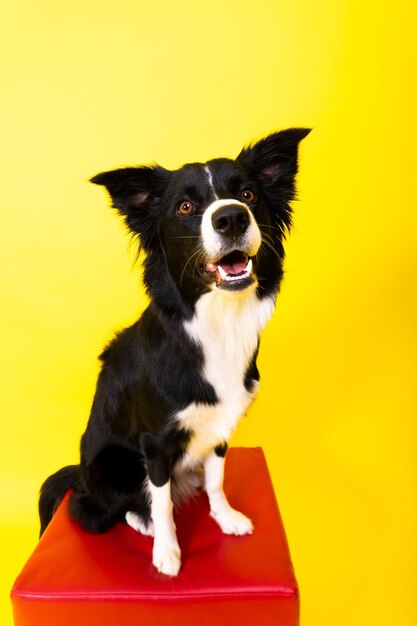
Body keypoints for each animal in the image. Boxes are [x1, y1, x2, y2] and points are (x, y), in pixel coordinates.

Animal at [39, 127, 310, 576]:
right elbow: (162, 500)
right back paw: (140, 519)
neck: (217, 322)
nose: (231, 217)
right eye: (185, 207)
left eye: (248, 194)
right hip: (113, 465)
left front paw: (225, 516)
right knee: (94, 508)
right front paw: (166, 551)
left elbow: (217, 478)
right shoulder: (155, 442)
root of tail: (81, 475)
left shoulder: (221, 424)